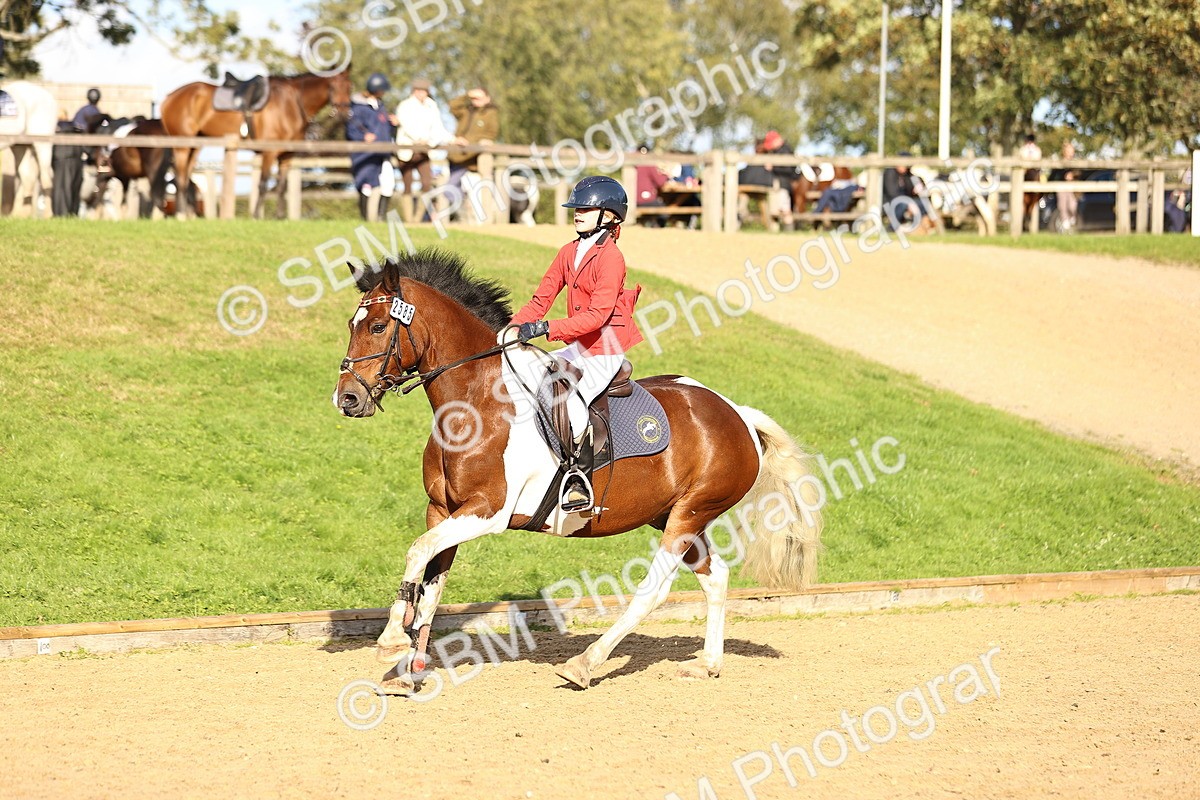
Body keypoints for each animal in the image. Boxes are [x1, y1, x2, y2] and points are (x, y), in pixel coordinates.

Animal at [0, 81, 57, 217]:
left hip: (42, 144)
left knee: (46, 178)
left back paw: (47, 215)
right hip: (21, 146)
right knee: (26, 176)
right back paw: (15, 215)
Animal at [159, 68, 352, 219]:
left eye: (350, 88)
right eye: (333, 87)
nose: (344, 113)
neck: (291, 104)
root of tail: (169, 97)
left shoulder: (287, 156)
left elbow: (281, 187)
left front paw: (280, 217)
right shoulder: (269, 152)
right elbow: (263, 184)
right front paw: (257, 216)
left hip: (195, 145)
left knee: (186, 178)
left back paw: (188, 214)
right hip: (182, 145)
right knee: (181, 176)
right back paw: (181, 214)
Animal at [334, 249, 823, 694]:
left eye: (378, 327)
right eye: (352, 326)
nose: (347, 399)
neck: (474, 401)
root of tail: (737, 413)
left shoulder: (486, 511)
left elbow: (417, 553)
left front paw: (391, 640)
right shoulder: (442, 509)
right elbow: (430, 584)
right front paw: (410, 671)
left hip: (690, 513)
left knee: (654, 589)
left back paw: (585, 664)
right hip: (675, 515)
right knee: (716, 576)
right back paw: (707, 664)